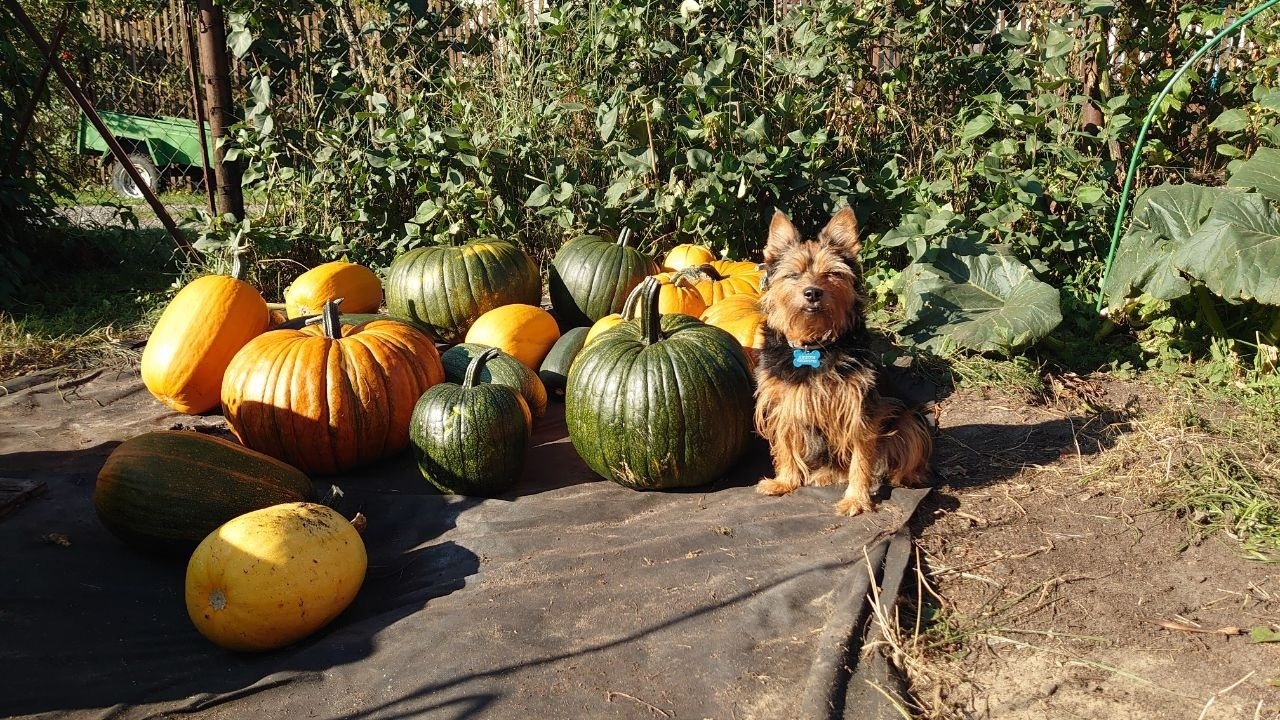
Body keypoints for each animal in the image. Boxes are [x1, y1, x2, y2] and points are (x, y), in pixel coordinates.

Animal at [752, 204, 936, 512]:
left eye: (831, 274)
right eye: (794, 275)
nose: (812, 292)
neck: (813, 345)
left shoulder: (859, 407)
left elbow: (861, 458)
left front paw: (856, 498)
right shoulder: (784, 402)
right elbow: (785, 444)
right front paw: (785, 482)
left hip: (910, 419)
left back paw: (905, 476)